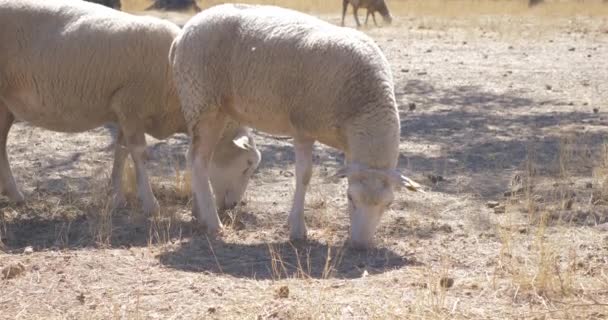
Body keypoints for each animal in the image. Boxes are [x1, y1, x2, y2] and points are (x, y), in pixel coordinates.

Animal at [0, 0, 258, 215]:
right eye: (247, 165)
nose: (234, 205)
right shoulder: (131, 104)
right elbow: (139, 153)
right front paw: (150, 204)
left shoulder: (125, 110)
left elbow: (120, 152)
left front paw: (116, 197)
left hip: (5, 106)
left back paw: (14, 195)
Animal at [169, 3, 420, 248]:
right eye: (350, 198)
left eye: (389, 204)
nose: (361, 245)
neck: (364, 105)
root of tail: (183, 33)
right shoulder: (303, 127)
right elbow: (304, 175)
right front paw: (298, 229)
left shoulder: (350, 146)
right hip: (203, 101)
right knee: (198, 161)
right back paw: (213, 223)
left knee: (197, 158)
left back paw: (200, 214)